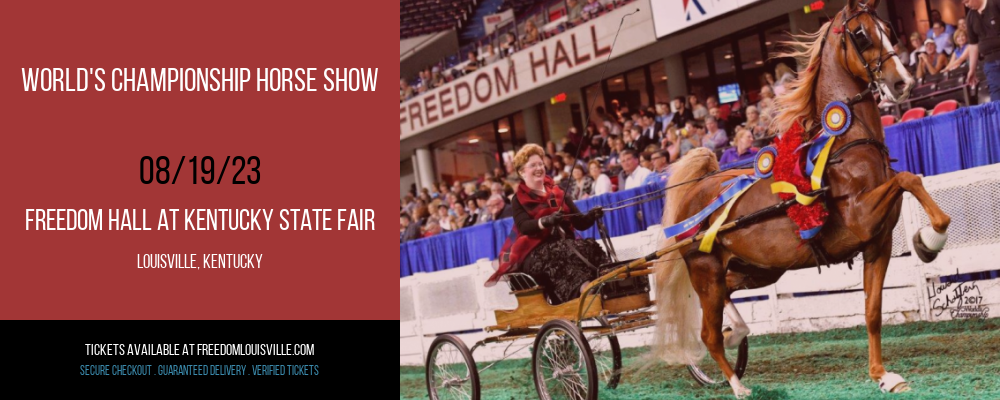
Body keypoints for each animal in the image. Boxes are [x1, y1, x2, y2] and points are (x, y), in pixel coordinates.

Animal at [652, 0, 948, 396]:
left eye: (889, 30)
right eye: (861, 34)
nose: (904, 82)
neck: (846, 145)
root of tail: (695, 197)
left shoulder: (878, 243)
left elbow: (872, 311)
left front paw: (883, 376)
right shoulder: (862, 216)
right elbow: (908, 178)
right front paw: (930, 240)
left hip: (756, 269)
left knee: (727, 306)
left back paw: (737, 334)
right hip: (706, 274)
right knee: (707, 334)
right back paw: (737, 384)